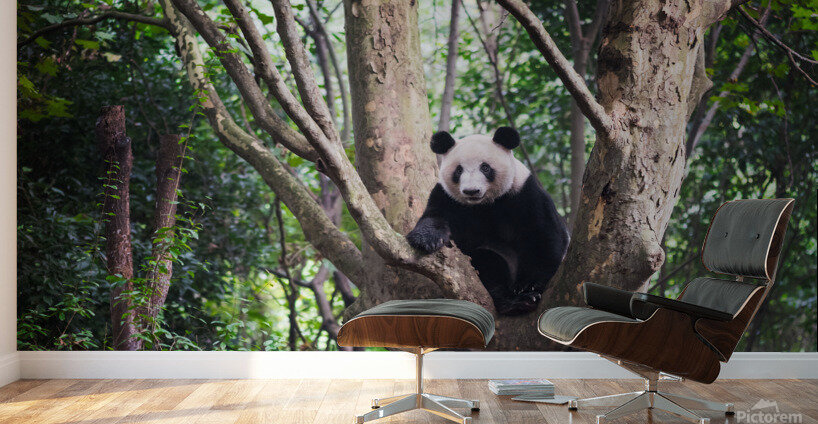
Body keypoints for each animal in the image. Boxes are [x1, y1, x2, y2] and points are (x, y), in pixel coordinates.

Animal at [407, 127, 570, 316]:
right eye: (459, 170)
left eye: (485, 167)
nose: (471, 191)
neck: (482, 205)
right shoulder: (447, 197)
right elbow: (435, 217)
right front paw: (425, 239)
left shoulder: (524, 193)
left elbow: (542, 236)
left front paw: (530, 285)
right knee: (487, 262)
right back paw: (512, 302)